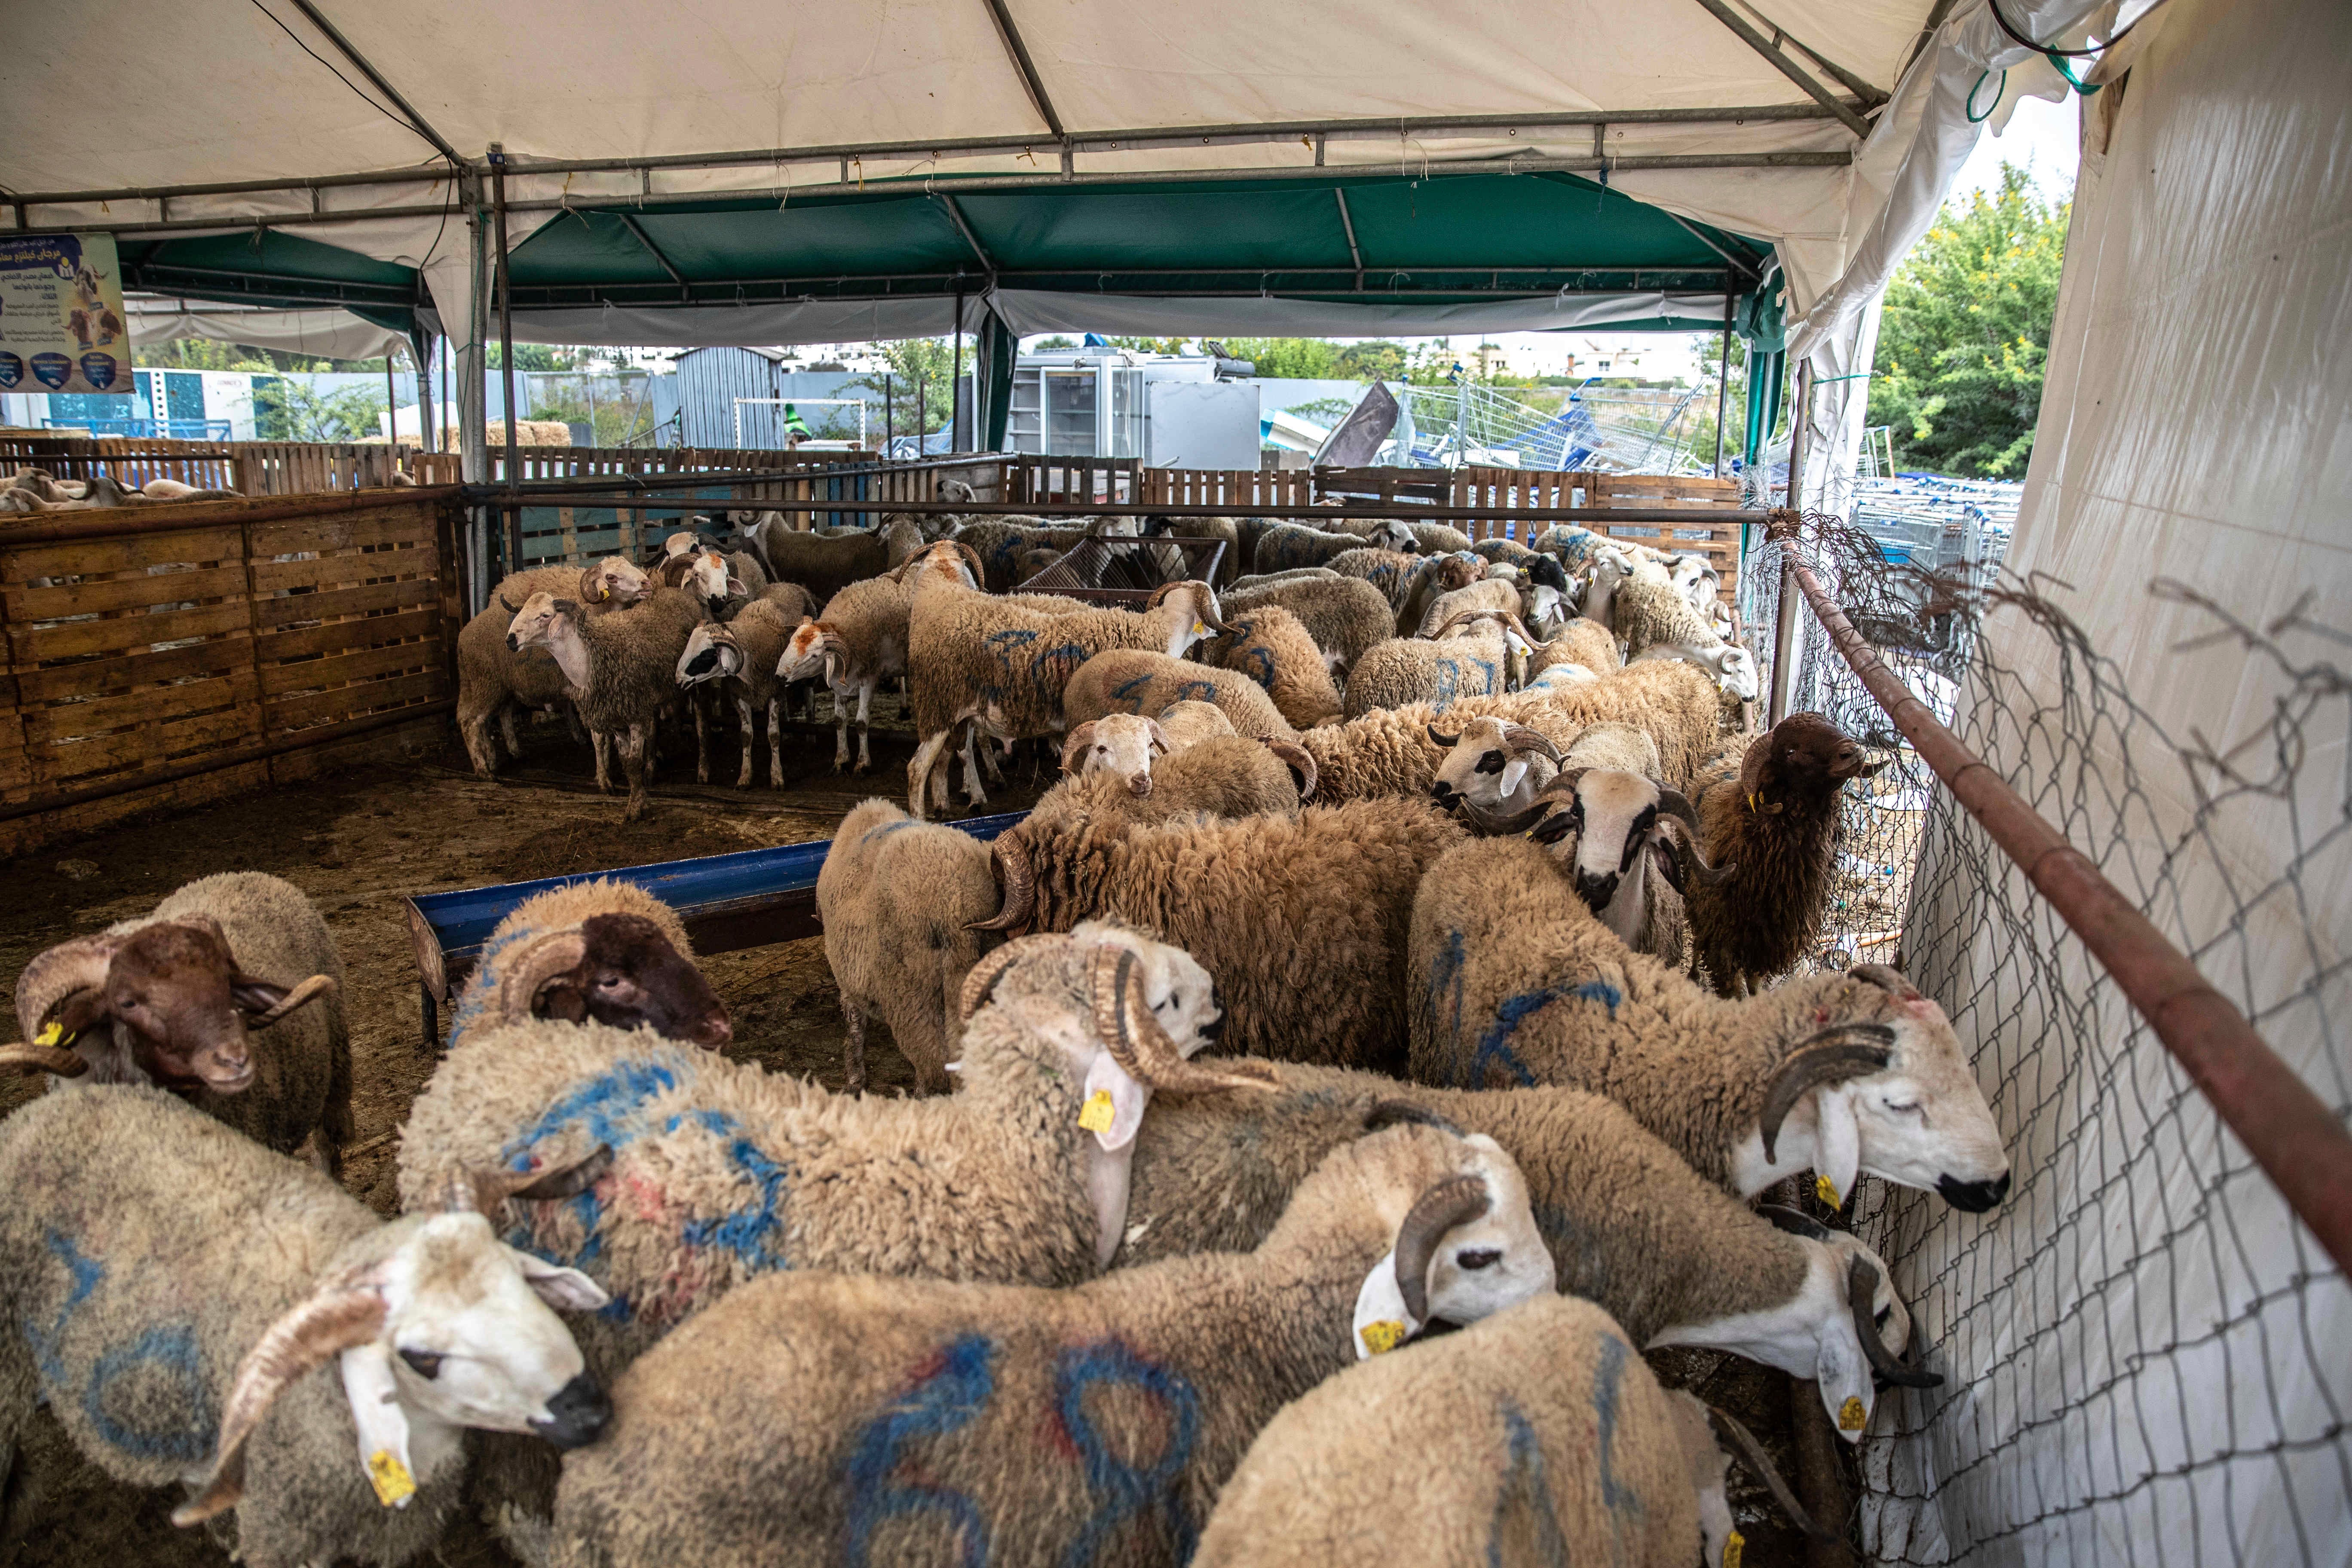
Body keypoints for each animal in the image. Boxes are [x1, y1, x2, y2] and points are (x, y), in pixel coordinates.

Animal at [458, 559, 653, 777]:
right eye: (611, 577)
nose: (647, 584)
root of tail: (464, 635)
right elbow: (601, 734)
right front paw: (604, 769)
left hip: (494, 685)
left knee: (498, 715)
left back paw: (504, 755)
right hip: (486, 683)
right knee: (471, 723)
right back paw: (484, 770)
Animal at [505, 587, 705, 821]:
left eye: (545, 616)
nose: (510, 639)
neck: (589, 659)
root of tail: (679, 593)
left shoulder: (633, 714)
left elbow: (632, 763)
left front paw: (637, 810)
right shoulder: (616, 717)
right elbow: (626, 762)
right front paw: (638, 801)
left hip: (696, 684)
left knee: (701, 726)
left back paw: (703, 772)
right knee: (654, 728)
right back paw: (651, 770)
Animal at [904, 579, 1232, 816]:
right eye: (1215, 602)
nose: (1221, 632)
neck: (1164, 632)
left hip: (958, 711)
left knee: (953, 755)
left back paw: (952, 802)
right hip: (940, 707)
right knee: (918, 768)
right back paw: (921, 818)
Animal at [1686, 712, 1884, 997]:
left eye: (1833, 726)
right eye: (1791, 751)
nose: (1853, 751)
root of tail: (1741, 736)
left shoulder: (1771, 939)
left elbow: (1755, 983)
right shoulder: (1723, 937)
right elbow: (1737, 990)